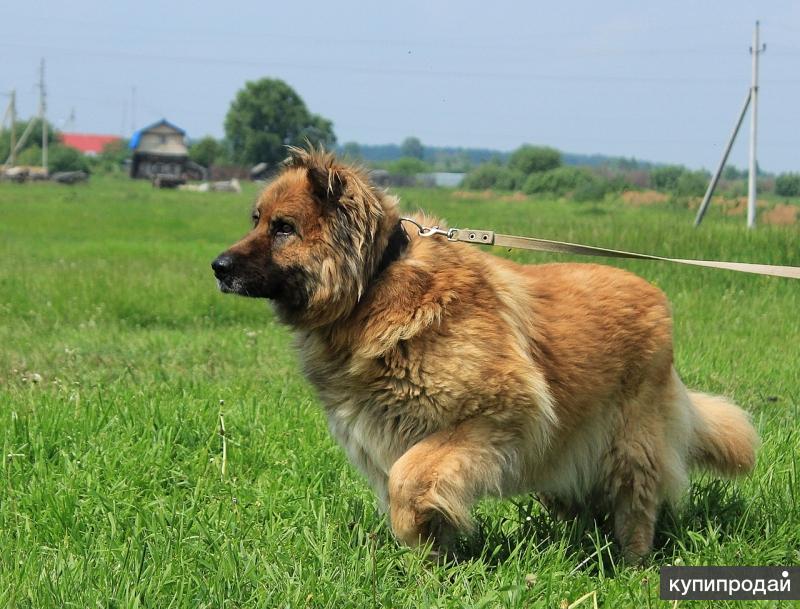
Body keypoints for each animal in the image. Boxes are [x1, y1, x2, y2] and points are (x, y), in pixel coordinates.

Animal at [211, 147, 756, 560]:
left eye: (283, 228)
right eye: (256, 220)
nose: (218, 266)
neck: (376, 285)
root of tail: (658, 299)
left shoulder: (492, 418)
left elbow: (406, 481)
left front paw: (410, 535)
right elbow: (421, 497)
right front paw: (431, 568)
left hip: (627, 445)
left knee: (636, 508)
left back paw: (632, 564)